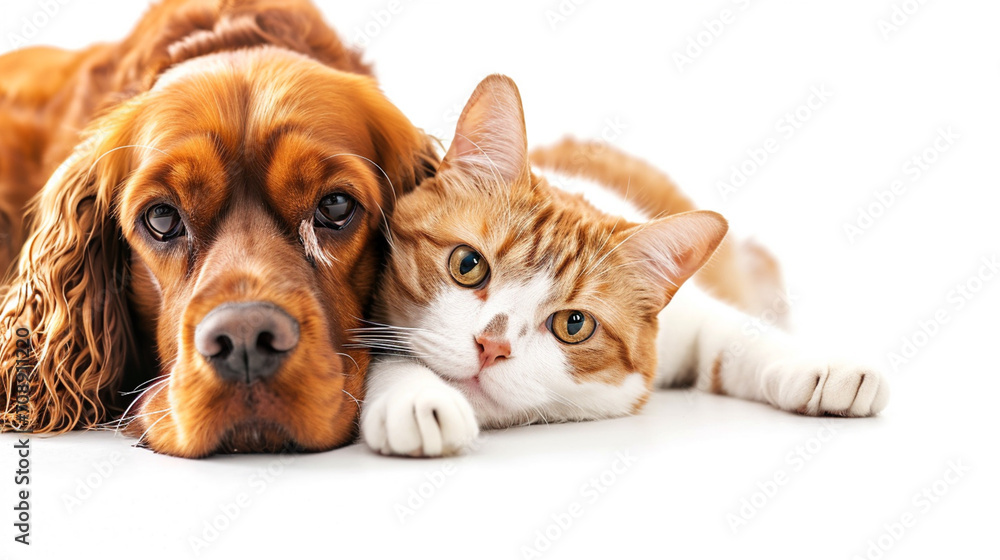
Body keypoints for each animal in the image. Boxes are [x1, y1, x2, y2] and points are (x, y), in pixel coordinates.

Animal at [356, 74, 888, 458]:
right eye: (468, 265)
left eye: (574, 324)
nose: (492, 347)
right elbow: (391, 359)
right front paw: (418, 398)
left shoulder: (692, 322)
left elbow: (743, 337)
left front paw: (828, 368)